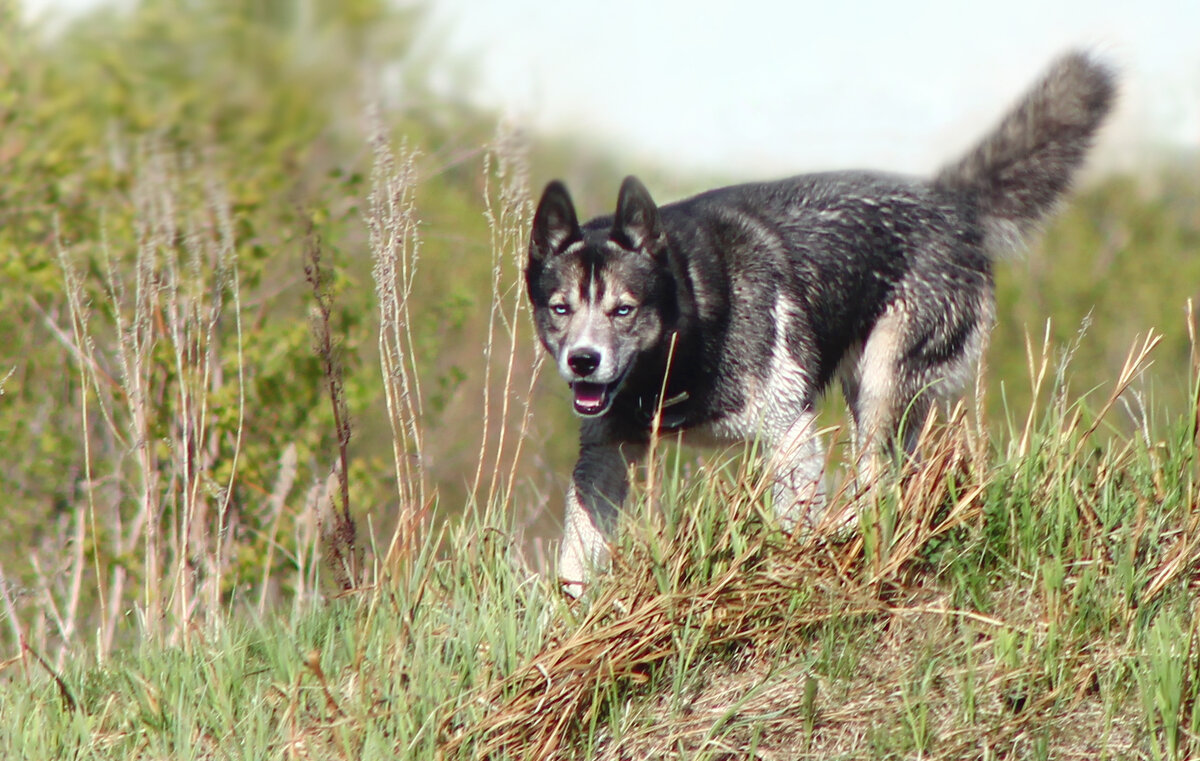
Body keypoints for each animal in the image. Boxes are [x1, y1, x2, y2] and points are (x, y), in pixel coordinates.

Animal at [525, 51, 1113, 592]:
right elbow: (575, 563)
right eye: (561, 309)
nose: (583, 361)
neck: (695, 316)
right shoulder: (604, 457)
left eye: (623, 309)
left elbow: (793, 523)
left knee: (878, 483)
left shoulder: (790, 433)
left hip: (881, 388)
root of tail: (950, 202)